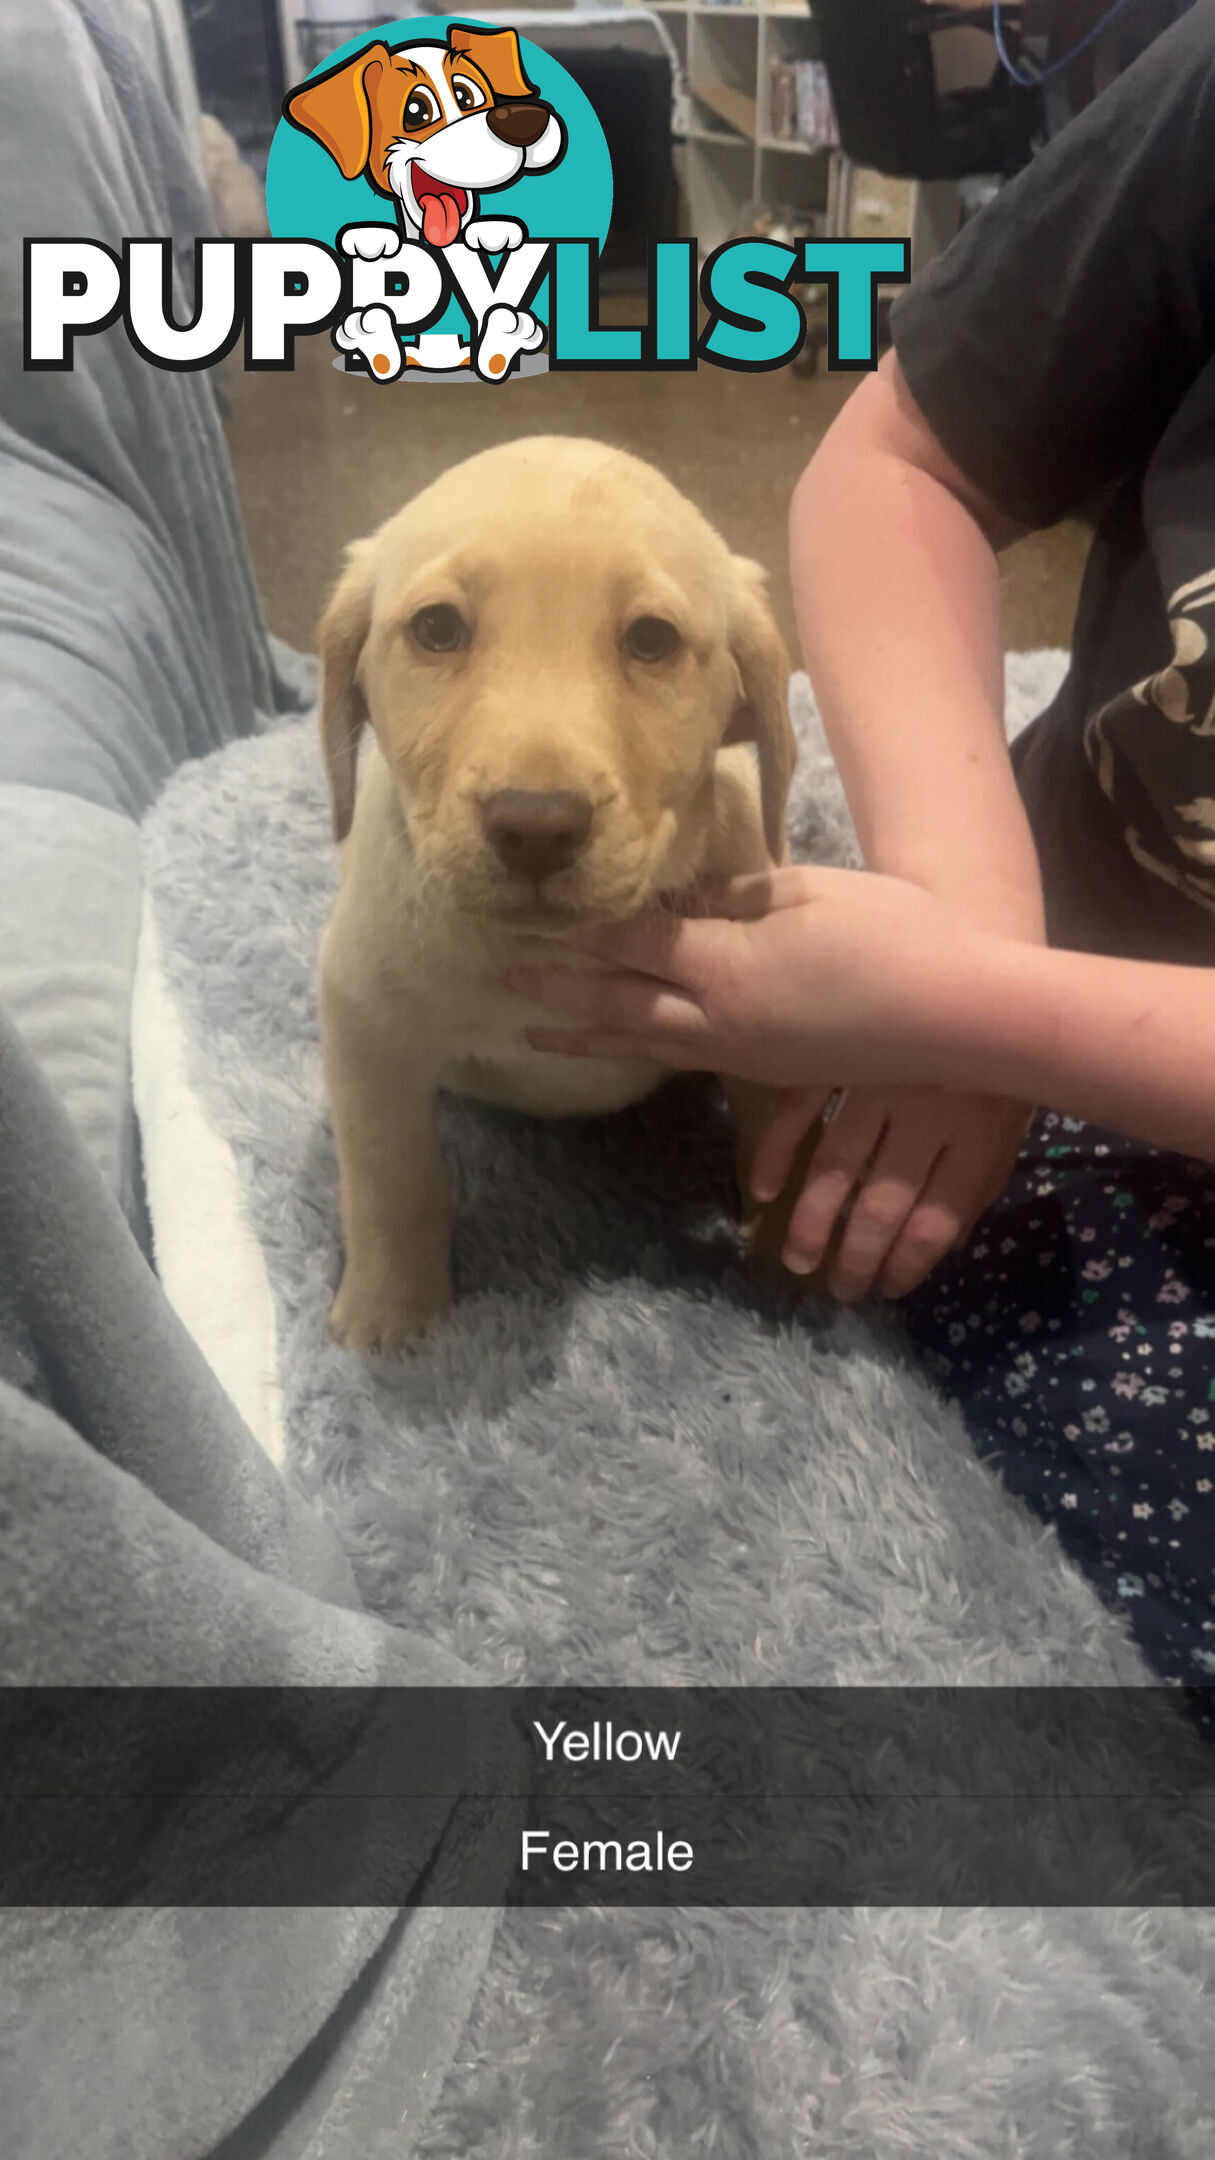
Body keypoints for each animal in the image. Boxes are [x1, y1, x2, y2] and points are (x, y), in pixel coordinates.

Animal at [317, 436, 791, 1347]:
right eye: (437, 629)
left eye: (651, 640)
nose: (534, 826)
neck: (547, 951)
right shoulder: (364, 1024)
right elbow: (389, 1178)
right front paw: (394, 1315)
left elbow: (775, 1148)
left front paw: (794, 1272)